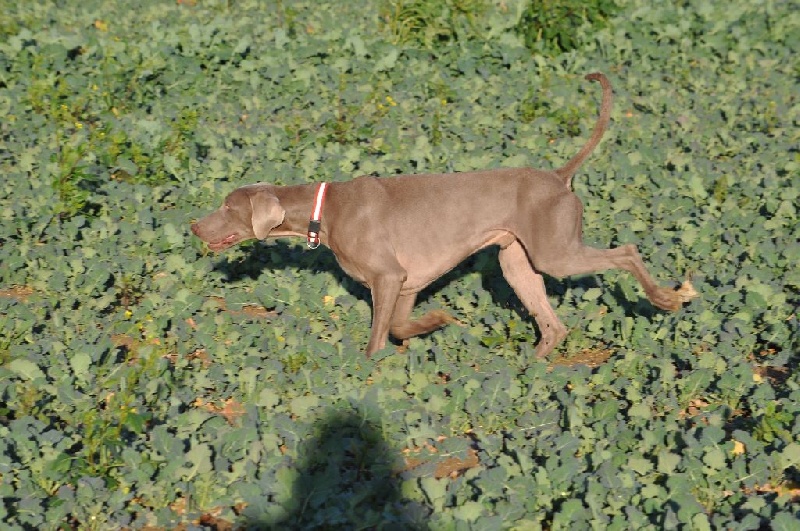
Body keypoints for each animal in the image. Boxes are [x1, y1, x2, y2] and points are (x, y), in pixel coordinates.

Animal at [192, 74, 692, 358]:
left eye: (227, 207)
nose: (194, 225)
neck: (324, 209)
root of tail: (557, 177)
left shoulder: (387, 276)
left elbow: (376, 341)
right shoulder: (406, 283)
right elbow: (398, 326)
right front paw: (436, 323)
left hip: (555, 254)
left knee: (627, 252)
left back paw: (668, 298)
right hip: (516, 262)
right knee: (555, 326)